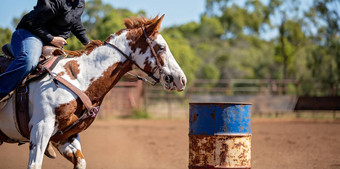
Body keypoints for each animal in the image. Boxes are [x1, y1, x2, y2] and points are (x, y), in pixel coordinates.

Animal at [0, 14, 186, 169]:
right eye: (161, 47)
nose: (181, 79)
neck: (78, 78)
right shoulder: (41, 127)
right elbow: (34, 165)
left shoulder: (64, 136)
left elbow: (81, 162)